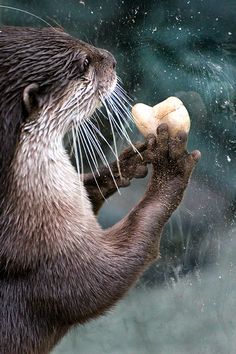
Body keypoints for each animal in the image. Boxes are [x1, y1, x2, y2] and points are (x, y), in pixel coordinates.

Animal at [0, 25, 200, 354]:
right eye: (84, 63)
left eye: (62, 31)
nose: (112, 59)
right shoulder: (43, 259)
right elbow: (100, 282)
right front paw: (171, 167)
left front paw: (127, 162)